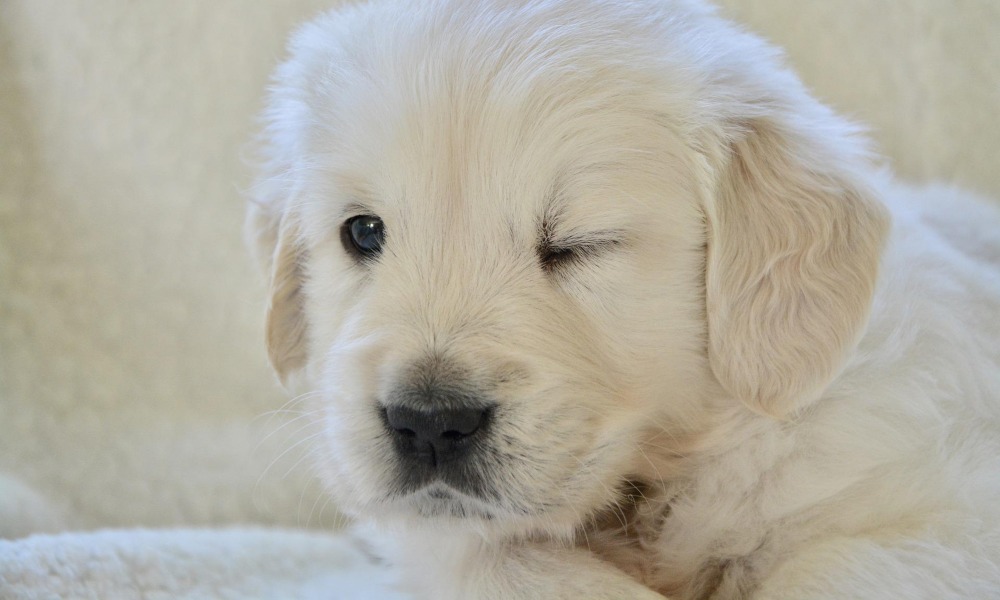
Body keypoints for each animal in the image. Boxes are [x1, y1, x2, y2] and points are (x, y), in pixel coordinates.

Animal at [246, 1, 1000, 596]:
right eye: (363, 232)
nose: (428, 423)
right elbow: (501, 560)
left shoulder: (954, 515)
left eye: (581, 244)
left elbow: (823, 572)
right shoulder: (438, 545)